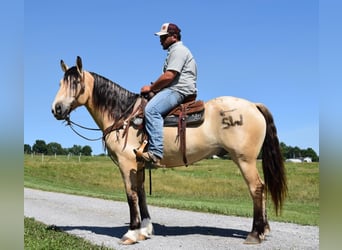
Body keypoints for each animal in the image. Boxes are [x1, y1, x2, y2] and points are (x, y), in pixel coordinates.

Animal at [50, 56, 286, 244]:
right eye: (61, 82)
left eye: (76, 83)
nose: (56, 109)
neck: (122, 115)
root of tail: (253, 105)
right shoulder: (139, 165)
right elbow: (141, 194)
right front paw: (145, 230)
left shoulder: (126, 164)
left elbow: (131, 195)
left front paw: (131, 233)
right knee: (261, 188)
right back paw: (263, 230)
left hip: (244, 159)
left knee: (256, 188)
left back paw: (255, 233)